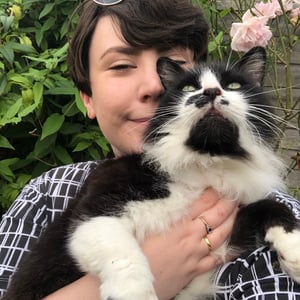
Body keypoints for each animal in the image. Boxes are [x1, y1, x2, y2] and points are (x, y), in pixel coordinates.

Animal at [4, 47, 300, 300]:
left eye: (234, 86)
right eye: (189, 87)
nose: (211, 92)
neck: (206, 163)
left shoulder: (224, 242)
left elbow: (269, 205)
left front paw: (294, 251)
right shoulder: (93, 215)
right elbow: (121, 253)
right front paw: (134, 292)